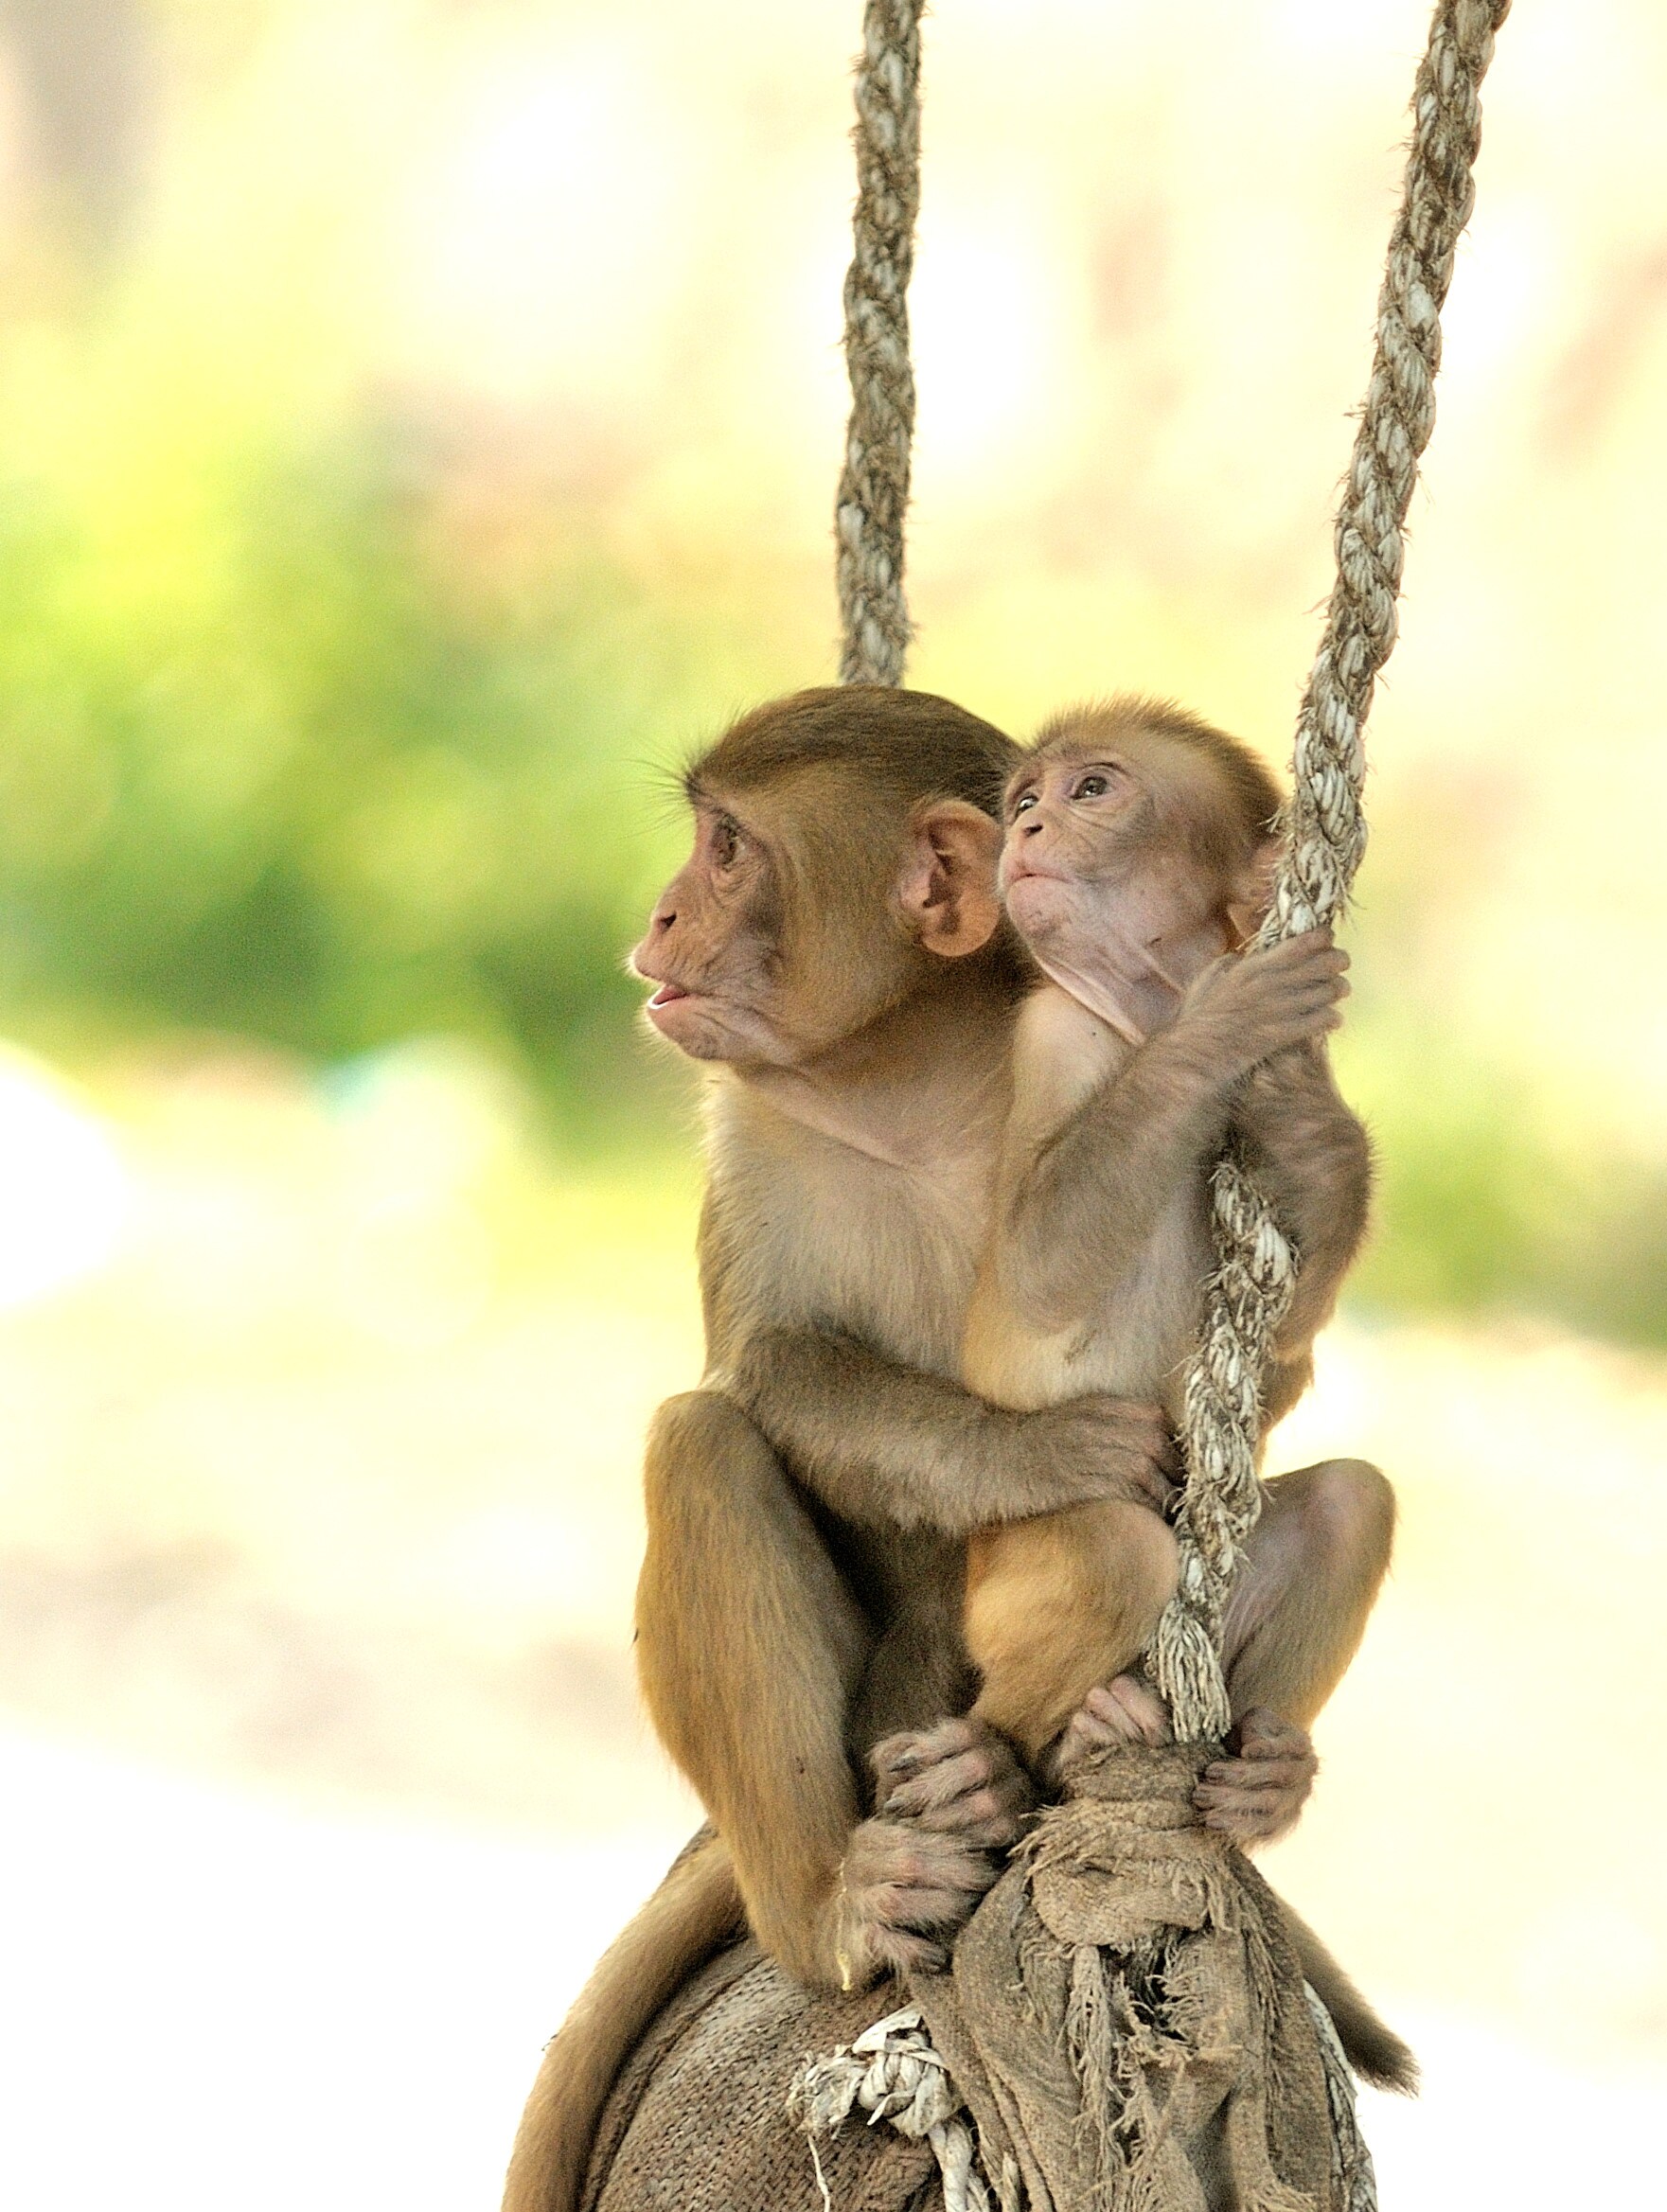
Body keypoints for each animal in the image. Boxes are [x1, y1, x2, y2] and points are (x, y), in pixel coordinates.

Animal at [958, 696, 1395, 1796]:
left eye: (1090, 790)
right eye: (1024, 800)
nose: (1027, 828)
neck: (1140, 1008)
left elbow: (1289, 1347)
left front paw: (1315, 1144)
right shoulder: (1054, 1032)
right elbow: (1036, 1272)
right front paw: (1221, 1022)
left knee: (1349, 1505)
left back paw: (1257, 1779)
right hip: (993, 1578)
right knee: (1113, 1548)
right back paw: (1019, 1750)